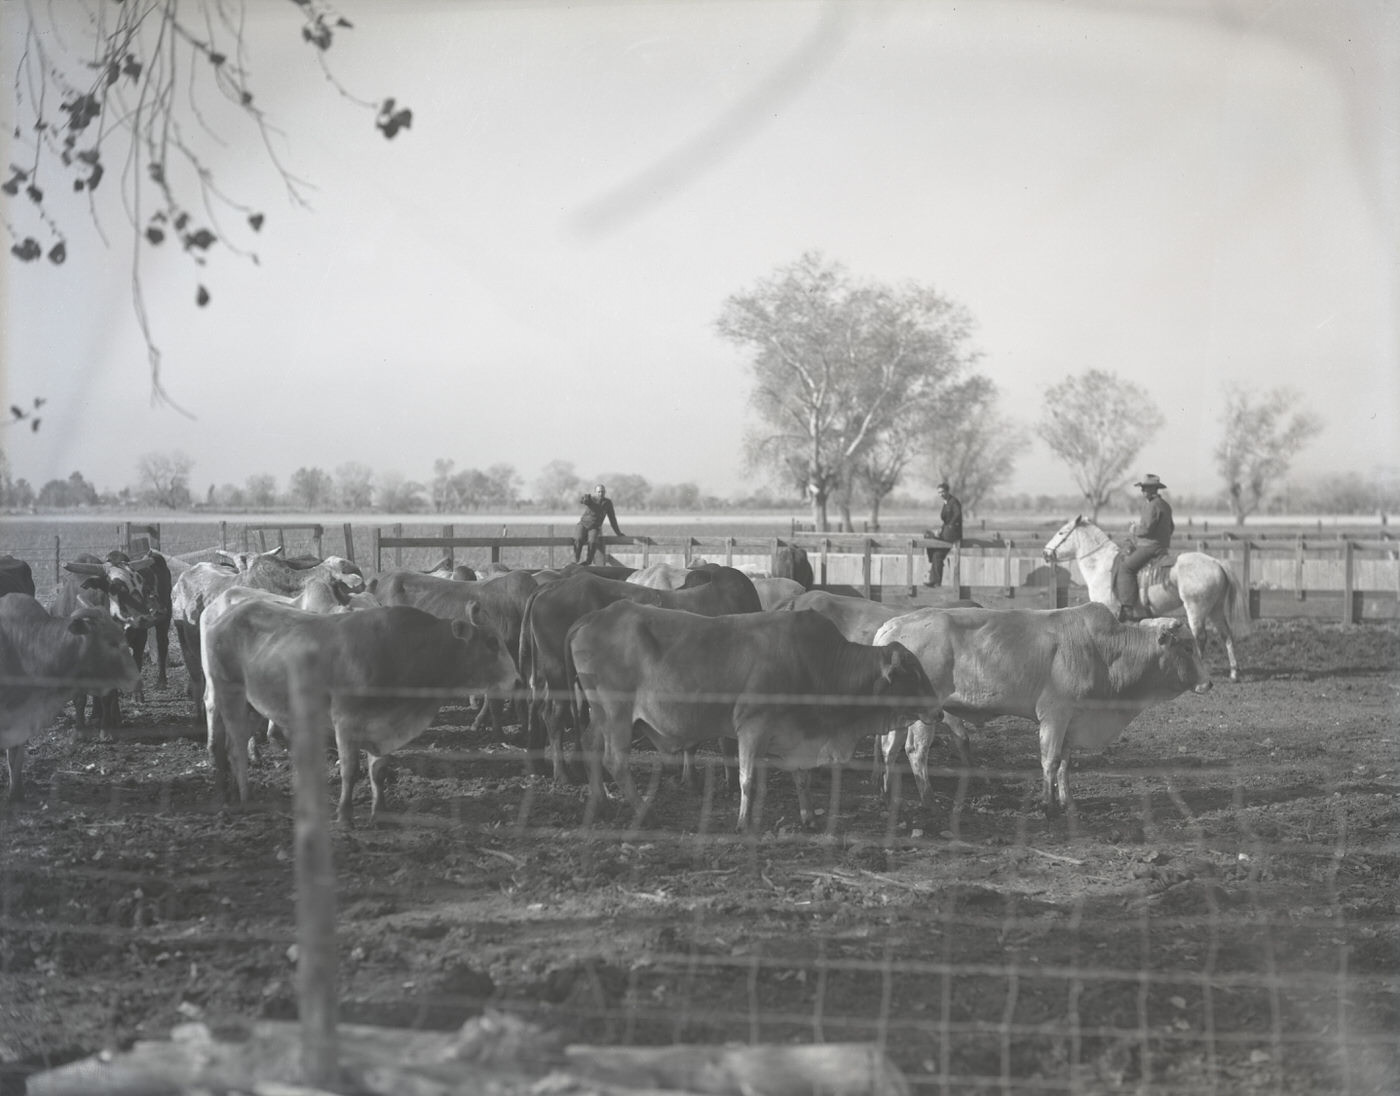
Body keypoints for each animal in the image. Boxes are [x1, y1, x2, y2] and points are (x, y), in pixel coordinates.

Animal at [200, 604, 518, 828]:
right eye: (491, 642)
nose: (516, 680)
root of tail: (222, 615)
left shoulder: (381, 725)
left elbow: (379, 771)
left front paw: (380, 812)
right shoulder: (346, 721)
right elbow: (350, 771)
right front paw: (344, 815)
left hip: (250, 703)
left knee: (225, 745)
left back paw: (228, 793)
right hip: (229, 693)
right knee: (235, 748)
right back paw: (245, 797)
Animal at [565, 599, 940, 834]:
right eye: (912, 674)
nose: (937, 708)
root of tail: (593, 618)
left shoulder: (795, 733)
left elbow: (801, 778)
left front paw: (809, 818)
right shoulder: (751, 727)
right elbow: (746, 779)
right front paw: (744, 822)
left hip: (600, 714)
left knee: (590, 745)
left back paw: (602, 803)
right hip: (617, 714)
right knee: (615, 760)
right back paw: (647, 812)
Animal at [873, 604, 1215, 817]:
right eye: (1187, 647)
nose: (1209, 682)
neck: (1105, 651)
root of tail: (892, 626)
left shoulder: (1073, 720)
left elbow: (1064, 763)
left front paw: (1068, 802)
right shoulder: (1054, 714)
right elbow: (1049, 761)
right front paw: (1047, 806)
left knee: (890, 748)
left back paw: (889, 796)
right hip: (924, 713)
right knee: (915, 751)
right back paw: (929, 802)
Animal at [1047, 517, 1254, 685]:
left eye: (1061, 532)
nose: (1045, 553)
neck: (1102, 566)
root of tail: (1217, 562)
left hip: (1196, 609)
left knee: (1200, 637)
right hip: (1215, 609)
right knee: (1226, 635)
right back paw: (1234, 673)